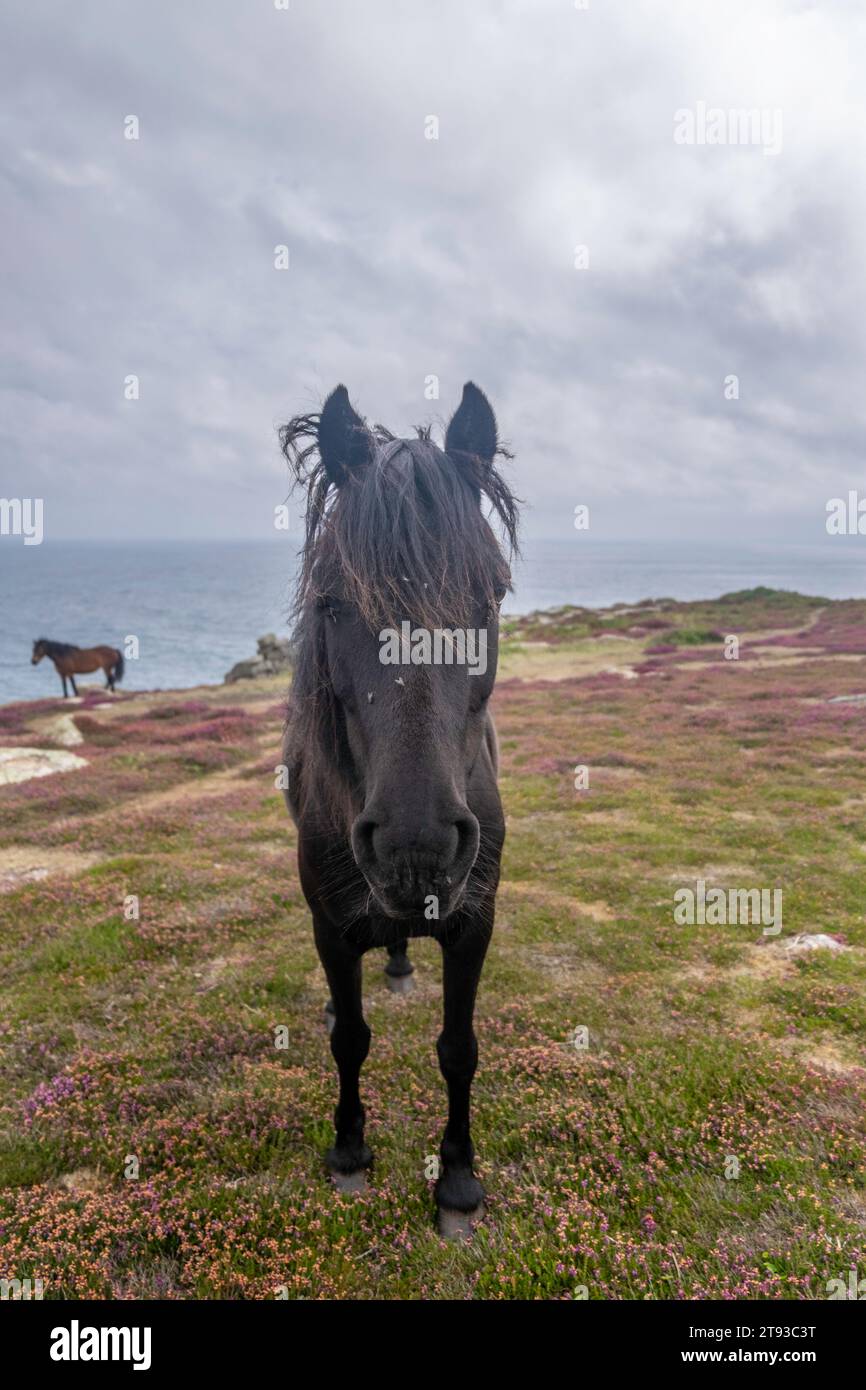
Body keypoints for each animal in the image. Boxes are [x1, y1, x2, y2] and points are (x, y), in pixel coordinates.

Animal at [280, 383, 517, 1239]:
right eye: (331, 603)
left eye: (491, 595)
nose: (417, 847)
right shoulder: (330, 922)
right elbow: (351, 1040)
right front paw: (350, 1151)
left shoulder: (474, 919)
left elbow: (460, 1048)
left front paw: (458, 1182)